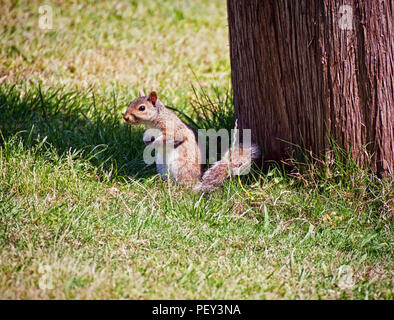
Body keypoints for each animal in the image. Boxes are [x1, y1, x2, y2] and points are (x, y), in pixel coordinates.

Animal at [121, 90, 260, 192]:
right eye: (130, 102)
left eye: (142, 108)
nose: (125, 117)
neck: (152, 122)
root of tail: (195, 182)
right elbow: (147, 137)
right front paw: (146, 142)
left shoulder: (174, 129)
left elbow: (171, 138)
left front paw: (153, 144)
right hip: (162, 167)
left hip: (180, 166)